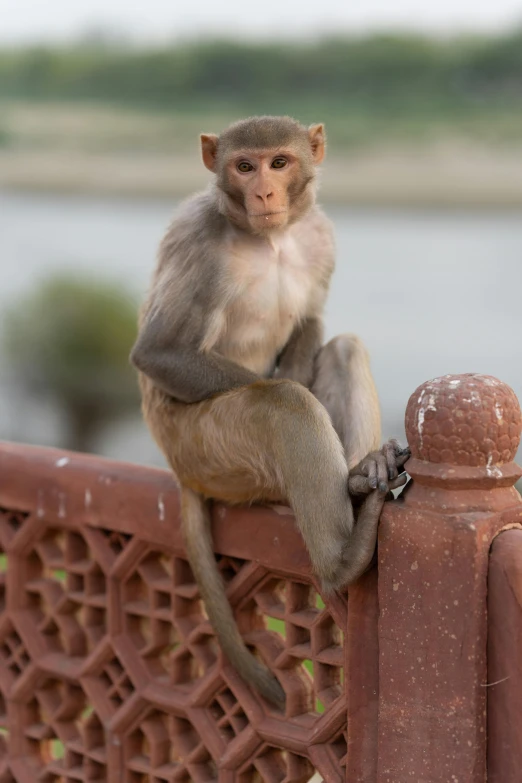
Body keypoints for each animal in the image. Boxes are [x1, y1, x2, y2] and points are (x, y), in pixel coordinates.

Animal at [130, 116, 406, 712]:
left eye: (279, 162)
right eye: (244, 166)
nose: (264, 193)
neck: (271, 240)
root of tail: (179, 468)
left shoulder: (321, 236)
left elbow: (311, 320)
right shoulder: (199, 241)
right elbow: (160, 352)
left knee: (344, 348)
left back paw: (360, 476)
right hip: (205, 449)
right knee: (285, 405)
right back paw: (343, 560)